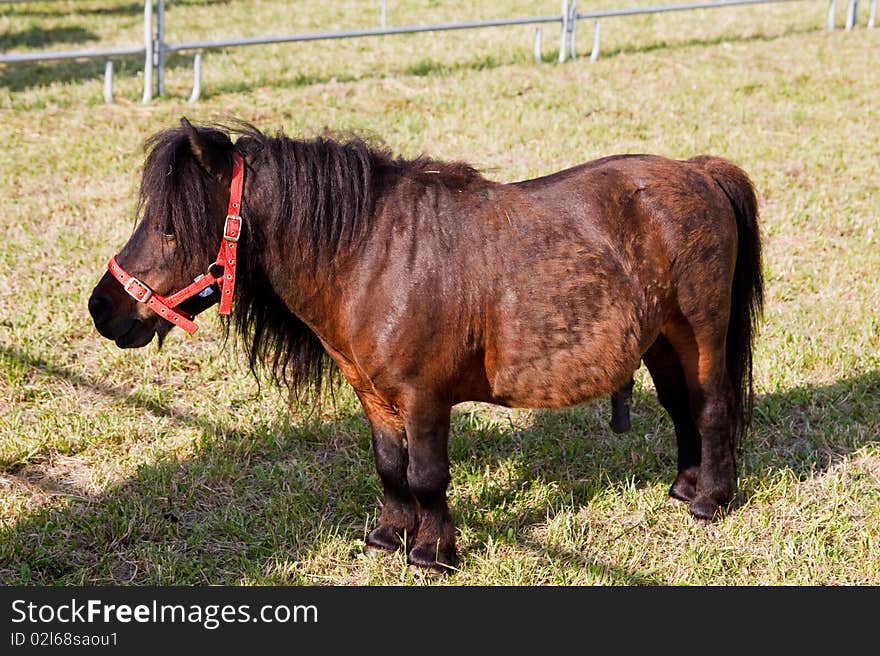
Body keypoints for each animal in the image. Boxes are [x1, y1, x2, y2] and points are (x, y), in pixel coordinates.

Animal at [91, 120, 764, 572]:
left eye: (171, 225)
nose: (103, 308)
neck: (372, 256)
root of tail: (699, 171)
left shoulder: (424, 396)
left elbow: (428, 474)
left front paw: (433, 551)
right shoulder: (373, 395)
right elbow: (392, 468)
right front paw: (388, 536)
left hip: (699, 332)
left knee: (712, 406)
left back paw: (711, 499)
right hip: (660, 341)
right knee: (681, 408)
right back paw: (683, 487)